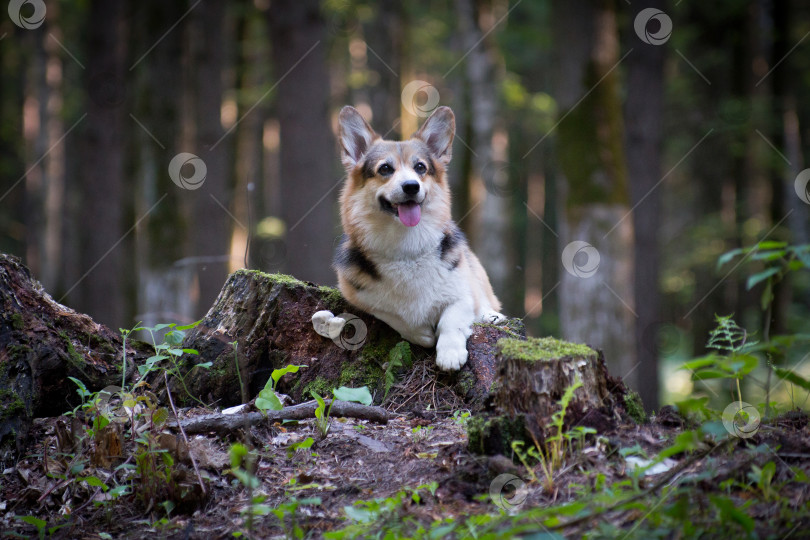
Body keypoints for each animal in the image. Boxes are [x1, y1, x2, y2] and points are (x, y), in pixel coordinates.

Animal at [310, 104, 504, 372]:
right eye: (385, 169)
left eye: (420, 167)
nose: (411, 186)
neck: (406, 247)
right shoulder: (362, 299)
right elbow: (396, 316)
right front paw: (422, 333)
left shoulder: (461, 295)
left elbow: (452, 320)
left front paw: (450, 353)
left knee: (485, 299)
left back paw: (491, 315)